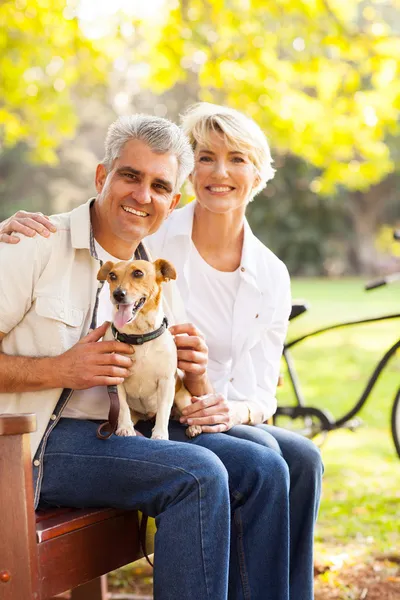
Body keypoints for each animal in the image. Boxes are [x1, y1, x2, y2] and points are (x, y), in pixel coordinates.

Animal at [97, 258, 203, 440]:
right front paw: (125, 428)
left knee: (188, 414)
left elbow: (163, 411)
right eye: (112, 275)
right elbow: (122, 407)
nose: (117, 294)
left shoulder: (166, 382)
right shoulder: (117, 380)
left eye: (138, 273)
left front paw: (159, 434)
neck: (139, 336)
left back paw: (194, 426)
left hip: (183, 398)